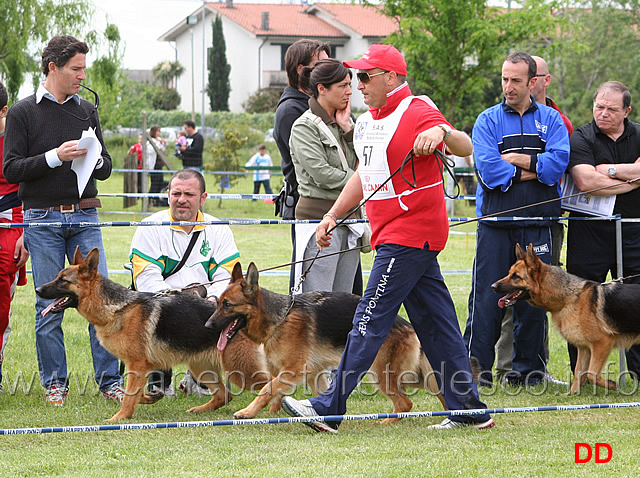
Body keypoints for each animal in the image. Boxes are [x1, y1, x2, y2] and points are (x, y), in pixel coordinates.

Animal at [35, 246, 270, 422]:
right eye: (57, 277)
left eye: (63, 280)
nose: (37, 290)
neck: (118, 308)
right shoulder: (139, 369)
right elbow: (134, 394)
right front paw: (149, 398)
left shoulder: (137, 365)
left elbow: (129, 397)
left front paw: (119, 418)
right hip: (202, 367)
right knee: (225, 395)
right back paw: (200, 410)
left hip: (240, 369)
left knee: (270, 383)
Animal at [205, 264, 444, 424]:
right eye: (218, 303)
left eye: (227, 305)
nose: (207, 325)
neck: (279, 319)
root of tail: (408, 326)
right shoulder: (311, 374)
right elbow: (283, 392)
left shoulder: (294, 370)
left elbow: (267, 388)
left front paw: (248, 412)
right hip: (410, 376)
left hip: (381, 373)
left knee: (405, 403)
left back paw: (387, 421)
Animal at [492, 245, 640, 394]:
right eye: (509, 273)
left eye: (516, 276)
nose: (493, 286)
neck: (569, 298)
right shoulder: (584, 347)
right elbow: (579, 371)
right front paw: (571, 394)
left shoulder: (602, 343)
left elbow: (591, 374)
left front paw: (613, 385)